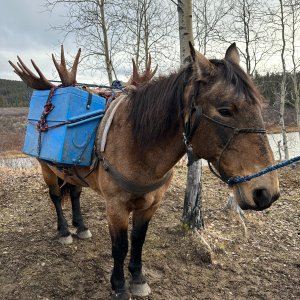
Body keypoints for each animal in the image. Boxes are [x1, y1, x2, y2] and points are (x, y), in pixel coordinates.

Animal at [9, 42, 282, 300]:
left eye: (259, 106)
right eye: (225, 110)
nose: (265, 192)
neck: (138, 146)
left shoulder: (152, 203)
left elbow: (138, 240)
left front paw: (138, 279)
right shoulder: (116, 206)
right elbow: (120, 246)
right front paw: (119, 286)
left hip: (73, 173)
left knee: (74, 194)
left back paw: (81, 226)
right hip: (46, 168)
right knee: (56, 197)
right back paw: (65, 230)